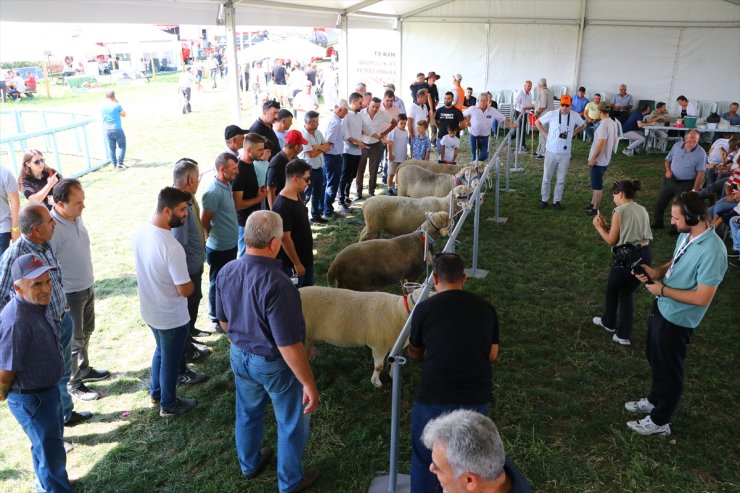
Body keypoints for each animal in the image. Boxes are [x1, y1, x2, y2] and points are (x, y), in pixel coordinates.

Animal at [300, 282, 430, 386]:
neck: (398, 311)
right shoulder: (379, 346)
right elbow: (379, 366)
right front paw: (376, 383)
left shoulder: (396, 345)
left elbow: (394, 363)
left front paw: (394, 377)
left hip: (308, 335)